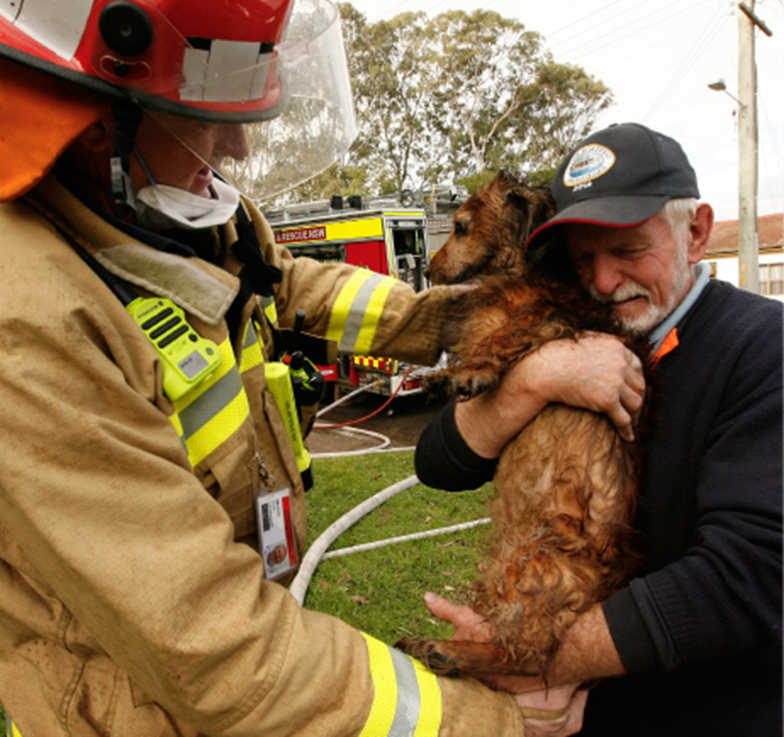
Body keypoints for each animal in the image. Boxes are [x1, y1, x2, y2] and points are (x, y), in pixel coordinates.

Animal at [398, 172, 644, 680]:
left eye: (461, 226)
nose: (428, 270)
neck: (519, 276)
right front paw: (445, 374)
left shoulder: (552, 315)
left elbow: (511, 330)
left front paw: (465, 373)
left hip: (530, 564)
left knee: (526, 657)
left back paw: (448, 651)